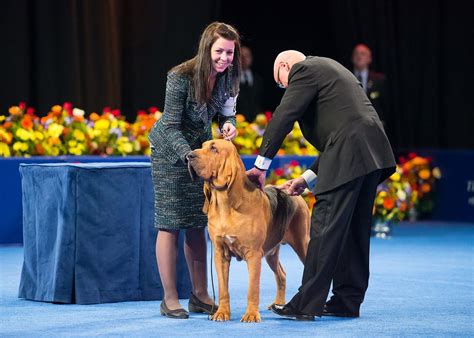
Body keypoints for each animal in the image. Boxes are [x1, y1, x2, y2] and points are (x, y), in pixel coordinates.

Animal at [187, 139, 310, 322]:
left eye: (214, 148)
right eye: (202, 146)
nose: (188, 156)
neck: (225, 204)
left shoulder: (253, 255)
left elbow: (253, 288)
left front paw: (251, 315)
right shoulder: (220, 254)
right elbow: (223, 289)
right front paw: (221, 313)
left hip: (302, 243)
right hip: (271, 253)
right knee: (281, 275)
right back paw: (278, 304)